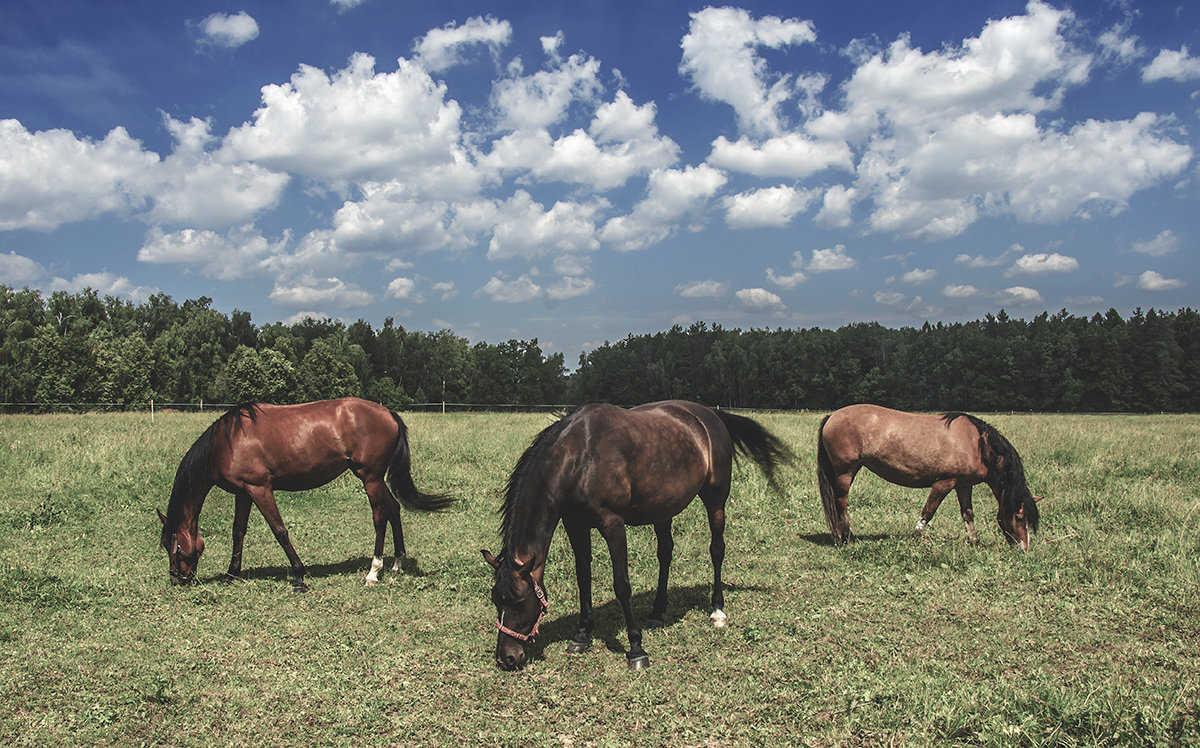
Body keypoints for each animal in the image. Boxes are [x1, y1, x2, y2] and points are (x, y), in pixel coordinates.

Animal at [159, 398, 451, 590]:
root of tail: (388, 413)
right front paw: (232, 574)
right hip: (376, 479)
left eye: (171, 545)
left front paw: (299, 576)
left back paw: (373, 571)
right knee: (394, 508)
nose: (177, 578)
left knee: (380, 516)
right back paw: (397, 563)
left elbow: (279, 530)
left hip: (370, 478)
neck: (227, 442)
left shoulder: (260, 488)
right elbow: (238, 531)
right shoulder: (244, 493)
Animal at [482, 401, 792, 672]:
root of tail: (710, 415)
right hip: (663, 508)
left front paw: (636, 649)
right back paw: (657, 611)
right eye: (496, 599)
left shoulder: (613, 524)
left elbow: (622, 585)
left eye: (519, 602)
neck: (580, 458)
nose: (507, 658)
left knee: (717, 549)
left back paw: (717, 609)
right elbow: (584, 577)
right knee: (665, 553)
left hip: (716, 499)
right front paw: (582, 634)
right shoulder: (575, 524)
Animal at [816, 405, 1041, 552]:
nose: (1024, 548)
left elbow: (968, 514)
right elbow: (928, 511)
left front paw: (974, 541)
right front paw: (916, 536)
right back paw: (846, 537)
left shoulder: (963, 485)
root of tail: (832, 416)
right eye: (1019, 517)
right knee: (841, 502)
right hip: (846, 472)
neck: (977, 445)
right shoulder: (944, 483)